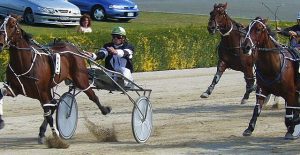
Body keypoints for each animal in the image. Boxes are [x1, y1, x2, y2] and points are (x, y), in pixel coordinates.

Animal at [0, 15, 111, 143]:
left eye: (12, 24)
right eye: (0, 23)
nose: (0, 43)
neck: (24, 63)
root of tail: (74, 48)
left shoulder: (42, 92)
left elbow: (48, 114)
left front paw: (57, 138)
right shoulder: (14, 89)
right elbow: (2, 93)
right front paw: (1, 121)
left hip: (80, 78)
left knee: (92, 95)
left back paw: (105, 110)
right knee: (53, 104)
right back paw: (42, 131)